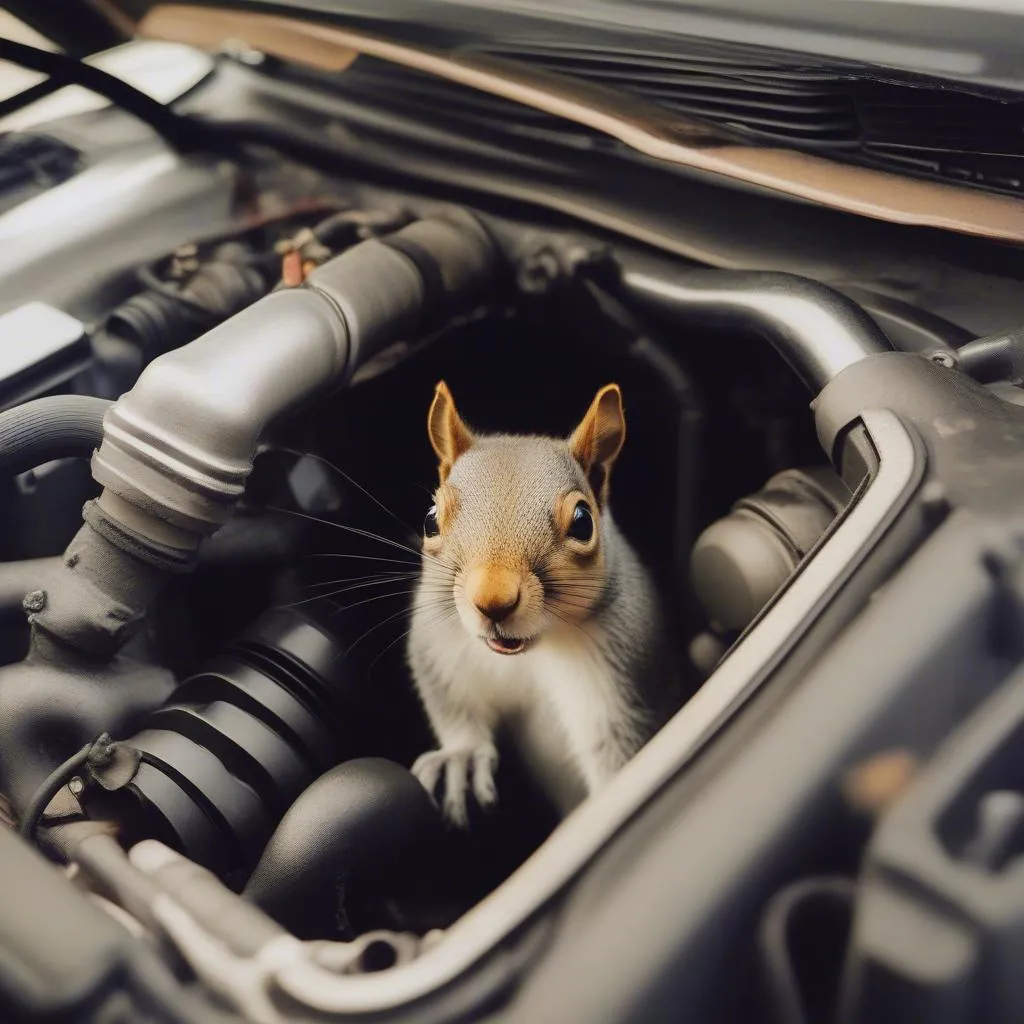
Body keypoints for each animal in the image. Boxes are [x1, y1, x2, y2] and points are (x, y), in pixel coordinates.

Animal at [405, 380, 679, 827]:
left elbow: (617, 754)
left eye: (583, 522)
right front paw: (462, 757)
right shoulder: (441, 642)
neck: (529, 652)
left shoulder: (621, 672)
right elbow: (453, 701)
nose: (492, 601)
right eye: (431, 519)